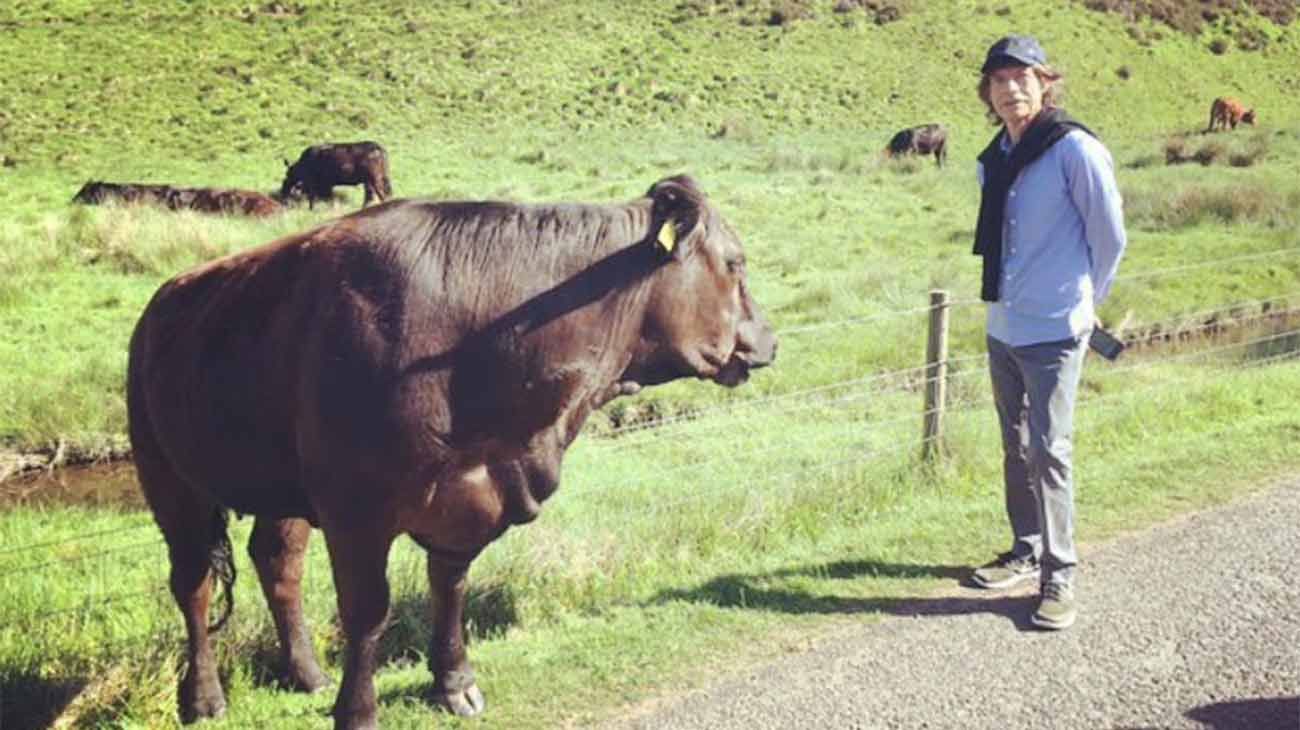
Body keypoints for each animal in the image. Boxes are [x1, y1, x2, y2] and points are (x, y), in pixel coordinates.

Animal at [124, 172, 769, 722]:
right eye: (734, 262)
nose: (768, 339)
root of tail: (162, 300)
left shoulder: (471, 497)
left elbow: (449, 585)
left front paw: (454, 683)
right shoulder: (356, 511)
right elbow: (368, 611)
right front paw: (357, 711)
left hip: (280, 487)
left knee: (278, 563)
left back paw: (306, 673)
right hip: (167, 478)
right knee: (192, 584)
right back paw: (204, 698)